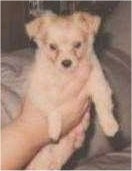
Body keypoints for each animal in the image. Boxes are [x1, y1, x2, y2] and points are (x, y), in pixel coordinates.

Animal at [25, 11, 118, 141]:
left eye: (78, 45)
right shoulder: (38, 91)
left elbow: (104, 105)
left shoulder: (99, 84)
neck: (66, 76)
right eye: (52, 47)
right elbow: (52, 108)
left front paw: (110, 125)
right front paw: (55, 129)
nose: (66, 63)